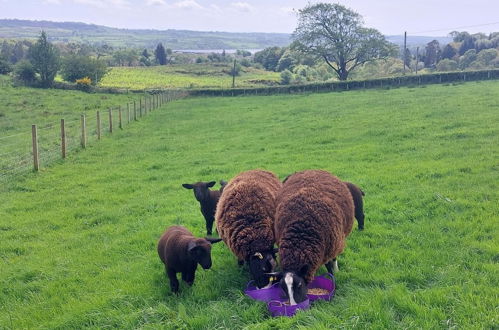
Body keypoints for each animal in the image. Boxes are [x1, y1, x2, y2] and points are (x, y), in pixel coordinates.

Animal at [274, 170, 356, 304]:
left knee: (335, 258)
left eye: (299, 285)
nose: (294, 305)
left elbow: (329, 267)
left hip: (337, 241)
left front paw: (333, 278)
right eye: (282, 287)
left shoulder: (329, 248)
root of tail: (310, 170)